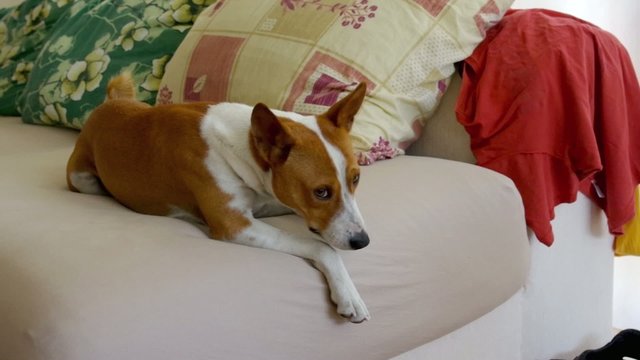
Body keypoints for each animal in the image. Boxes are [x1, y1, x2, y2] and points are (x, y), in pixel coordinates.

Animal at [65, 74, 370, 324]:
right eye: (321, 192)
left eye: (356, 178)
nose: (362, 242)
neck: (242, 145)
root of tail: (108, 104)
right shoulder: (234, 224)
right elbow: (322, 247)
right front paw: (349, 294)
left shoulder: (268, 199)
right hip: (82, 179)